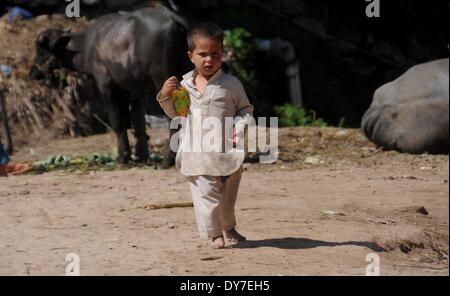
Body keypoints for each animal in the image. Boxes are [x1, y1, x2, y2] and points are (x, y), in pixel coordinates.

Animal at [32, 2, 191, 164]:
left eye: (40, 50)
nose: (32, 73)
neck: (88, 46)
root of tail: (172, 18)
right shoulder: (133, 91)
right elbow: (138, 123)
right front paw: (141, 155)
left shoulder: (107, 87)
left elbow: (118, 122)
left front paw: (123, 156)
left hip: (163, 80)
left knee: (172, 117)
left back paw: (169, 159)